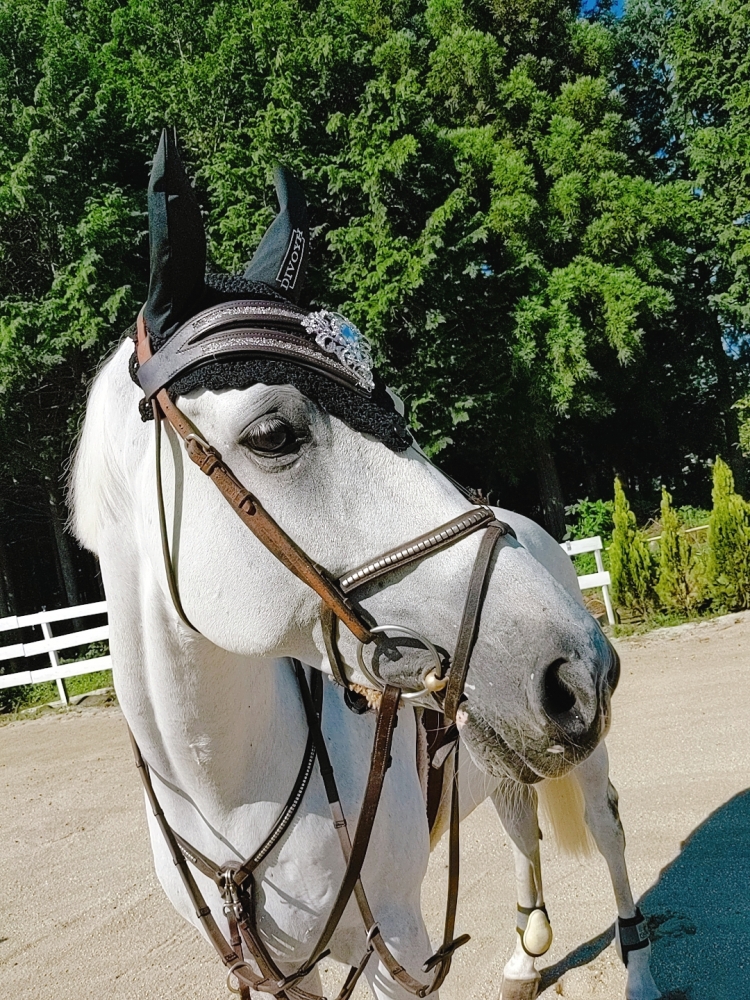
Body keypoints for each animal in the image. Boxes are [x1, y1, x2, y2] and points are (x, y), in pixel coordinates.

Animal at [70, 130, 660, 1000]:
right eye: (273, 434)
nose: (578, 671)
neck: (228, 791)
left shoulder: (398, 950)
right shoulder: (282, 977)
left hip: (580, 766)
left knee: (609, 830)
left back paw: (639, 966)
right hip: (496, 754)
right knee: (521, 824)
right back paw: (525, 955)